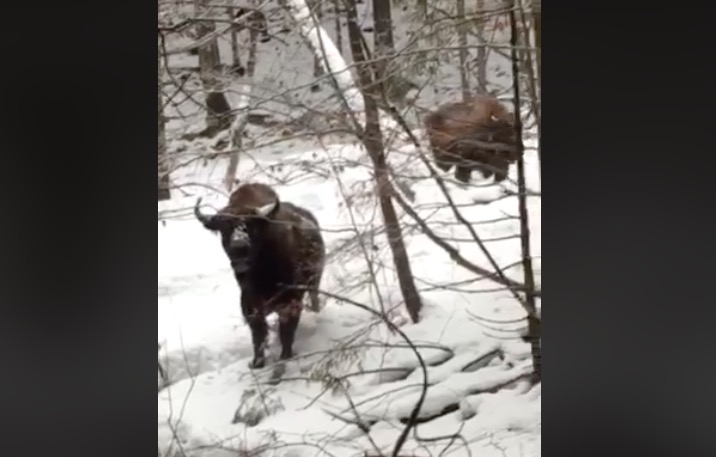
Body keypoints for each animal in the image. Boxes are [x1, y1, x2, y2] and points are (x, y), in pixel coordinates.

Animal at [196, 181, 330, 366]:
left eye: (252, 226)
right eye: (224, 228)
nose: (239, 246)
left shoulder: (290, 302)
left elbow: (286, 333)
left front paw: (285, 357)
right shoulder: (251, 308)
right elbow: (258, 336)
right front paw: (257, 363)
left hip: (314, 281)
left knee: (314, 297)